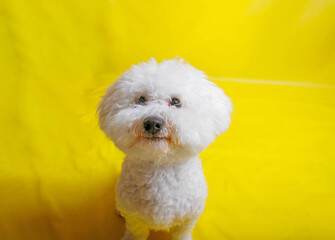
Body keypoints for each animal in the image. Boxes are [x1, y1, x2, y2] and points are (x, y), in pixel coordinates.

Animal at [98, 58, 232, 240]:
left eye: (176, 102)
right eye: (141, 100)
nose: (152, 123)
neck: (160, 166)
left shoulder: (189, 216)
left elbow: (181, 233)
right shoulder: (134, 217)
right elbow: (135, 232)